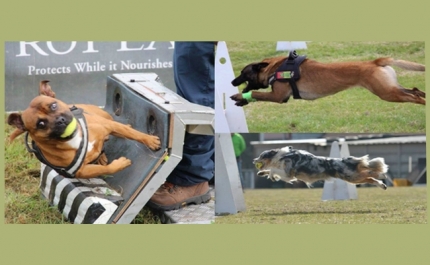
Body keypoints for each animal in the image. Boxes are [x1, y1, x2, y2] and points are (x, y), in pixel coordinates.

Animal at [7, 80, 162, 178]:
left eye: (53, 105)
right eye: (40, 124)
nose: (60, 121)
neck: (74, 139)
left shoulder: (108, 126)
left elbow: (133, 134)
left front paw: (149, 140)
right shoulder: (82, 171)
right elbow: (106, 169)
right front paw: (120, 164)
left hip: (104, 117)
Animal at [230, 53, 424, 105]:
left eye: (243, 73)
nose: (232, 82)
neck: (275, 68)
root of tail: (375, 61)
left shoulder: (278, 97)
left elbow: (256, 93)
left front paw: (239, 96)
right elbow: (256, 95)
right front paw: (241, 100)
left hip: (387, 93)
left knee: (414, 96)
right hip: (391, 88)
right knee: (416, 91)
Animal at [254, 146, 388, 188]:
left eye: (261, 156)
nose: (254, 160)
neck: (281, 156)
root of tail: (345, 160)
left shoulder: (288, 174)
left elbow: (273, 170)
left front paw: (271, 176)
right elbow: (270, 169)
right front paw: (262, 173)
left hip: (351, 176)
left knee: (370, 174)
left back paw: (381, 176)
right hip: (353, 178)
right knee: (369, 178)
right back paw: (382, 185)